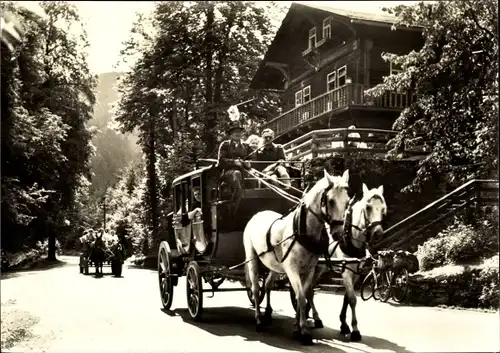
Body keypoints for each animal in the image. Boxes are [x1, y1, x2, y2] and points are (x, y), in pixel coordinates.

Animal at [244, 168, 350, 344]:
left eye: (347, 202)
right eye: (331, 201)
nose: (338, 234)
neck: (303, 230)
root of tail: (258, 213)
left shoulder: (309, 270)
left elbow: (304, 296)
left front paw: (297, 327)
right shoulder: (292, 269)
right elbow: (300, 297)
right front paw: (304, 332)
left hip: (275, 265)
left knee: (267, 285)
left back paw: (268, 313)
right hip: (252, 259)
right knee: (256, 288)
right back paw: (258, 320)